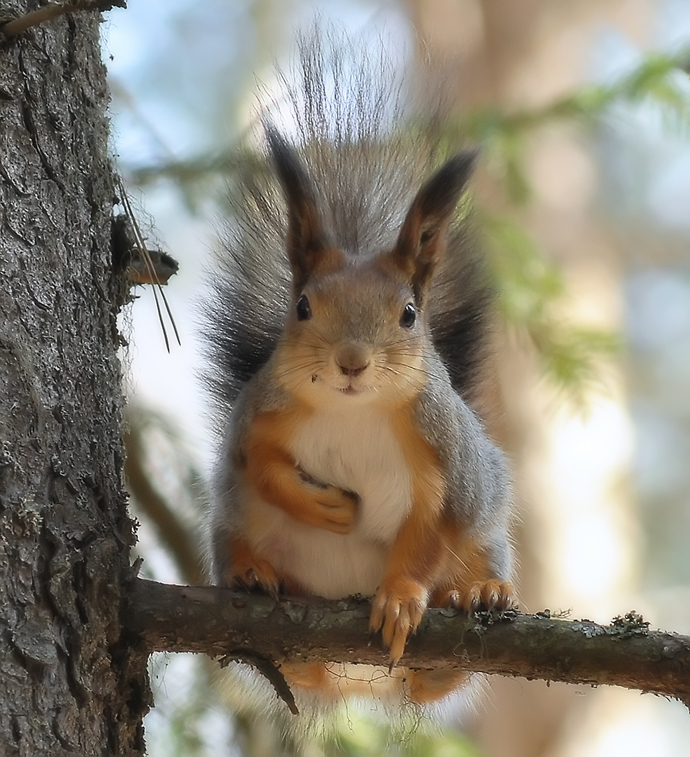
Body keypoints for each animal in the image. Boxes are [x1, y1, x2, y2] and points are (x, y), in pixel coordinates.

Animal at [202, 34, 512, 708]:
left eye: (409, 314)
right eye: (301, 306)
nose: (351, 362)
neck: (353, 409)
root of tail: (355, 679)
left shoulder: (447, 457)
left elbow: (431, 534)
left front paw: (401, 599)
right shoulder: (259, 413)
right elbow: (259, 464)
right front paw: (320, 506)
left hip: (486, 535)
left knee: (441, 668)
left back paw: (476, 594)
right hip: (234, 520)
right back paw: (255, 576)